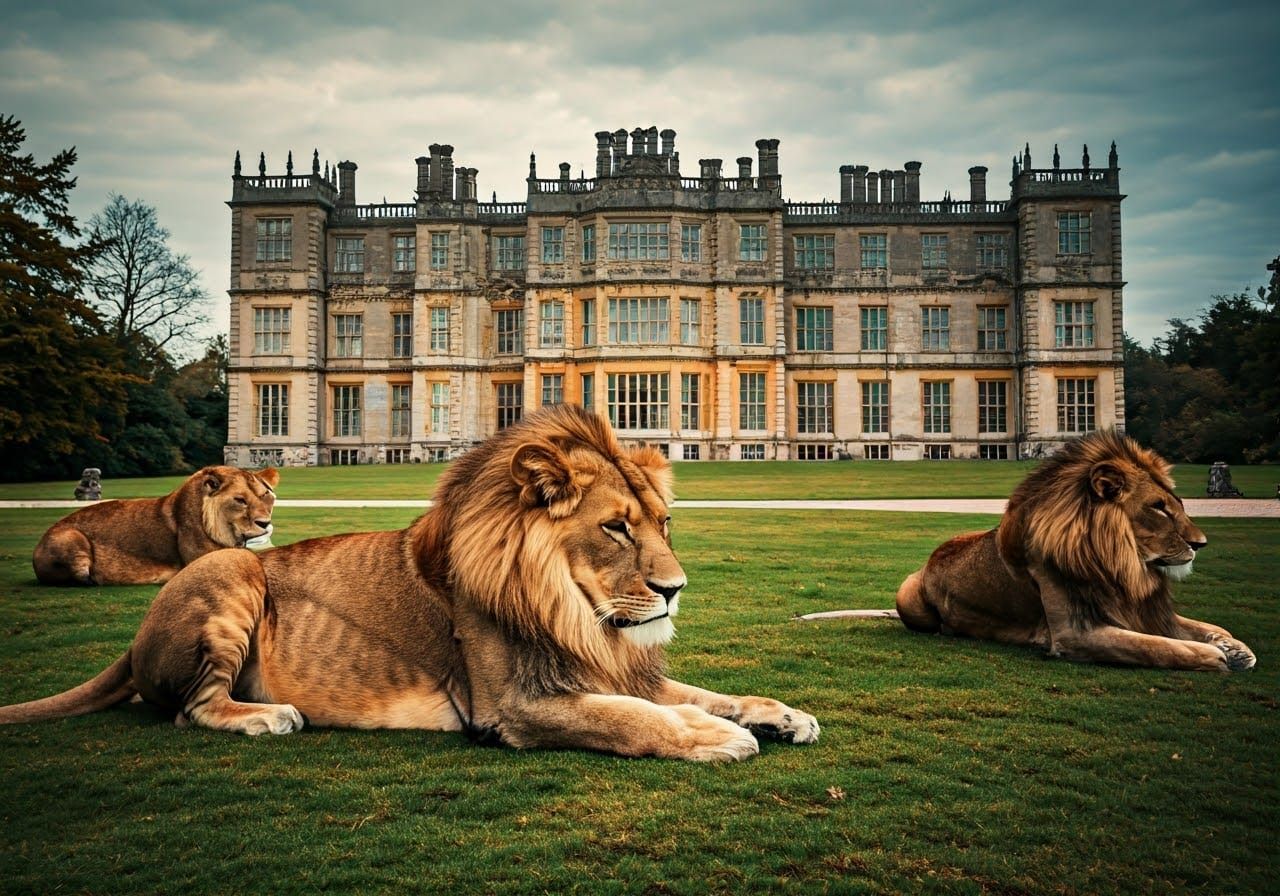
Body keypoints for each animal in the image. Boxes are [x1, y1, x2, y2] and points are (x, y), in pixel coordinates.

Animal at [894, 430, 1255, 672]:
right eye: (1158, 507)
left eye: (1178, 504)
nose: (1200, 543)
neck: (1119, 562)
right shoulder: (1075, 633)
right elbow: (1156, 647)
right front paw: (1214, 656)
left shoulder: (1141, 609)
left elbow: (1200, 627)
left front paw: (1235, 647)